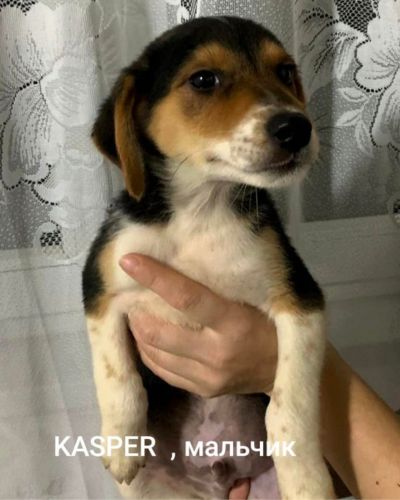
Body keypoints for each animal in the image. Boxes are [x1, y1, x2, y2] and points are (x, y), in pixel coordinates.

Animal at [82, 16, 335, 499]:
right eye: (204, 80)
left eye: (285, 72)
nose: (296, 128)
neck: (201, 210)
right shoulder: (102, 290)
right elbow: (117, 376)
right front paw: (121, 443)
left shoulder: (300, 301)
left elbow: (290, 407)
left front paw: (307, 481)